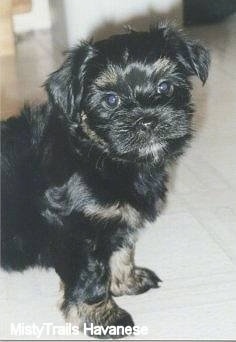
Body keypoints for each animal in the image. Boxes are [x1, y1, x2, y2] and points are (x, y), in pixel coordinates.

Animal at [0, 22, 209, 338]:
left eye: (165, 87)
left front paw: (127, 281)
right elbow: (92, 279)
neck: (99, 155)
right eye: (111, 100)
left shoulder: (118, 219)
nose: (147, 120)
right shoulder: (80, 231)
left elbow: (122, 250)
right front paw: (105, 319)